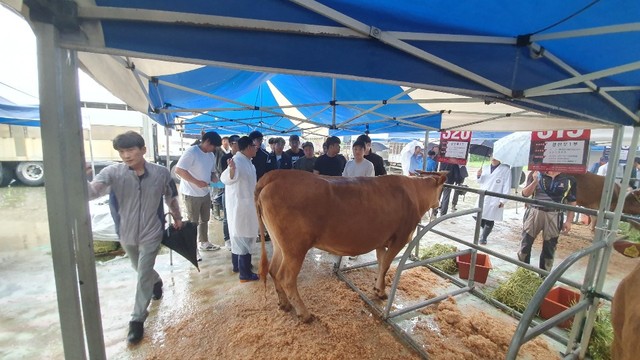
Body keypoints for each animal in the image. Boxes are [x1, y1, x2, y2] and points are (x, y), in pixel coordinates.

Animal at [255, 170, 444, 322]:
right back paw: (304, 313)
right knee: (286, 278)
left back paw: (284, 304)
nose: (439, 206)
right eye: (442, 189)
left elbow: (381, 263)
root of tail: (275, 175)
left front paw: (378, 288)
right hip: (295, 248)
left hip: (280, 244)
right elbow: (386, 265)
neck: (414, 192)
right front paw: (381, 291)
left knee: (273, 270)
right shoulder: (401, 238)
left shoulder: (381, 241)